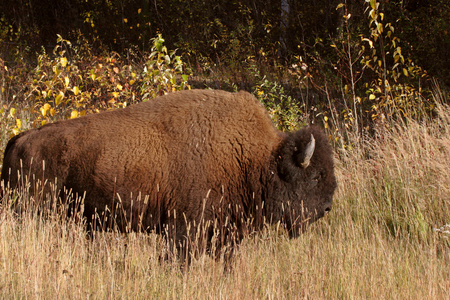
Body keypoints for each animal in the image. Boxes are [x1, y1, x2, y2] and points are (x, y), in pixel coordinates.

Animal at [0, 89, 338, 255]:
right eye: (315, 176)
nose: (326, 208)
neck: (256, 158)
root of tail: (19, 139)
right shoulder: (184, 228)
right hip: (29, 210)